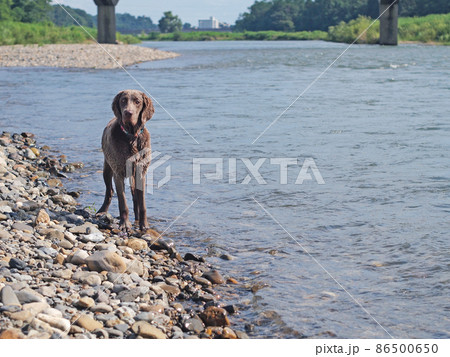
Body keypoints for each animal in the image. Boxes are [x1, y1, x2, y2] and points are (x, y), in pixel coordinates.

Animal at [96, 87, 155, 229]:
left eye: (137, 101)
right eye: (123, 100)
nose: (128, 113)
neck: (132, 137)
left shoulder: (141, 171)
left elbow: (142, 203)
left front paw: (144, 224)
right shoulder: (118, 172)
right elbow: (122, 202)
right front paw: (125, 224)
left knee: (135, 198)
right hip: (107, 168)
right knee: (110, 191)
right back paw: (102, 211)